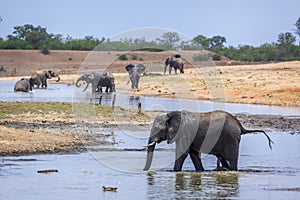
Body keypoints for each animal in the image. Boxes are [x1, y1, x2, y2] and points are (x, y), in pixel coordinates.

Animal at [144, 110, 274, 171]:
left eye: (157, 129)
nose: (144, 171)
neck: (171, 114)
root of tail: (240, 126)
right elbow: (194, 154)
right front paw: (201, 171)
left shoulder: (185, 132)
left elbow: (183, 153)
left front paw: (175, 172)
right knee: (224, 161)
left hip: (230, 138)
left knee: (232, 159)